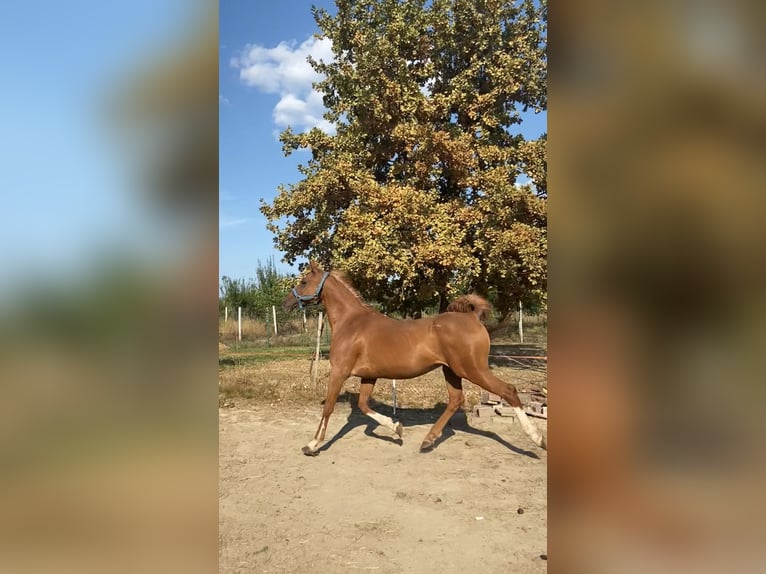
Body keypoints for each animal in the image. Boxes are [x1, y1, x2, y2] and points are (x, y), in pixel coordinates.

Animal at [282, 262, 544, 460]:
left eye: (303, 281)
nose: (286, 303)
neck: (352, 323)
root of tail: (472, 317)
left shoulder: (340, 372)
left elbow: (329, 408)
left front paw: (312, 445)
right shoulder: (369, 376)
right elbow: (364, 406)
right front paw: (396, 429)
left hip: (473, 369)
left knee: (508, 390)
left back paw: (537, 439)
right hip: (451, 371)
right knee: (456, 400)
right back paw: (428, 441)